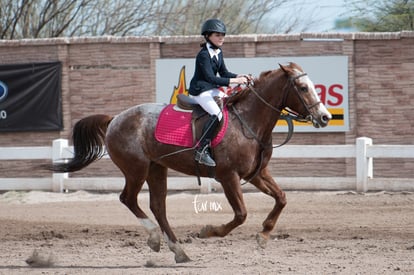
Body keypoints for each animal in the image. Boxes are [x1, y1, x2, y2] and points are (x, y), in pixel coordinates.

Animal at [51, 62, 332, 264]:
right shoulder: (228, 176)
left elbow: (281, 198)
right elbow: (241, 214)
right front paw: (208, 231)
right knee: (128, 199)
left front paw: (263, 235)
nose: (325, 117)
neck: (249, 121)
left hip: (156, 169)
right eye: (303, 88)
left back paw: (179, 251)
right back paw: (155, 238)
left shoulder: (257, 173)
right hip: (136, 169)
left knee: (158, 207)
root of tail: (115, 118)